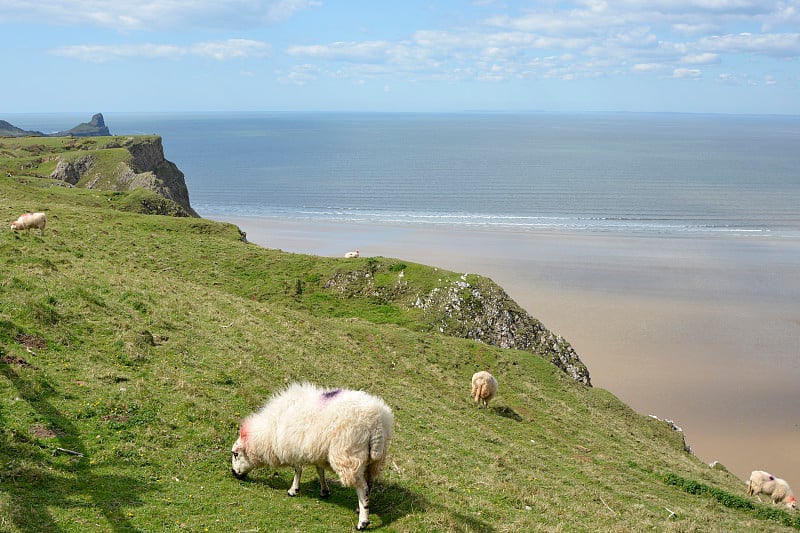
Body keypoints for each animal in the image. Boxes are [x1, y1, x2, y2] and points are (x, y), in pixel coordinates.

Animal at [231, 382, 394, 528]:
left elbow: (298, 470)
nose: (233, 473)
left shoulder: (294, 448)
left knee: (362, 487)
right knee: (369, 484)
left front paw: (293, 490)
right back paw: (360, 508)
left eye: (236, 454)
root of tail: (376, 423)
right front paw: (324, 490)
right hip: (373, 461)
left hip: (348, 456)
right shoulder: (316, 449)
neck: (269, 432)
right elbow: (319, 470)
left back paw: (363, 522)